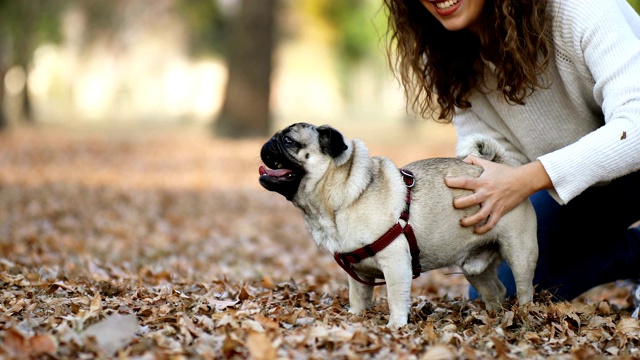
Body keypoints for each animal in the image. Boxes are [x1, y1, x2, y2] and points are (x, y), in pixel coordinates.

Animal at [258, 122, 536, 328]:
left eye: (288, 141)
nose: (269, 141)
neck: (338, 199)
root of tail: (502, 166)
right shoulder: (358, 274)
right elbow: (358, 297)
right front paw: (355, 318)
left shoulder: (395, 263)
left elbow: (395, 296)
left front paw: (396, 326)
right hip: (475, 268)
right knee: (496, 291)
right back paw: (492, 318)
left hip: (520, 253)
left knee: (524, 289)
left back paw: (524, 315)